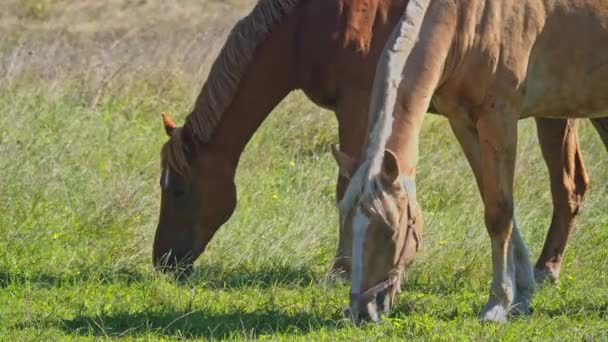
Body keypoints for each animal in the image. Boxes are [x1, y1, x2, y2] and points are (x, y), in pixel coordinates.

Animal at [153, 0, 592, 284]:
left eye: (178, 191)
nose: (163, 262)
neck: (305, 26)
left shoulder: (357, 107)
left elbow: (346, 187)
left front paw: (342, 269)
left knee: (568, 185)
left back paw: (547, 268)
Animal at [334, 0, 608, 324]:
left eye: (390, 229)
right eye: (344, 221)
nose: (363, 311)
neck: (469, 20)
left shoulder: (499, 119)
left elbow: (499, 214)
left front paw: (497, 304)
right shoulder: (464, 125)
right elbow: (497, 204)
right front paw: (522, 294)